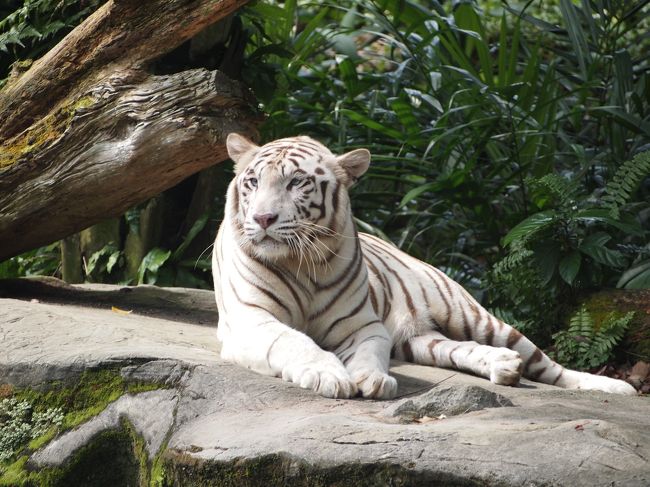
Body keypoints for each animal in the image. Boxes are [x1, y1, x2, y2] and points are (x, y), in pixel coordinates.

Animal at [211, 134, 632, 400]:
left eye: (297, 182)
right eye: (252, 182)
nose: (263, 218)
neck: (301, 262)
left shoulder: (363, 326)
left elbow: (369, 353)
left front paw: (372, 378)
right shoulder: (252, 320)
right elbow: (294, 341)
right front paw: (327, 374)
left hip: (475, 317)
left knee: (549, 365)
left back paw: (612, 387)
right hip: (418, 340)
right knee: (456, 350)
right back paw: (503, 366)